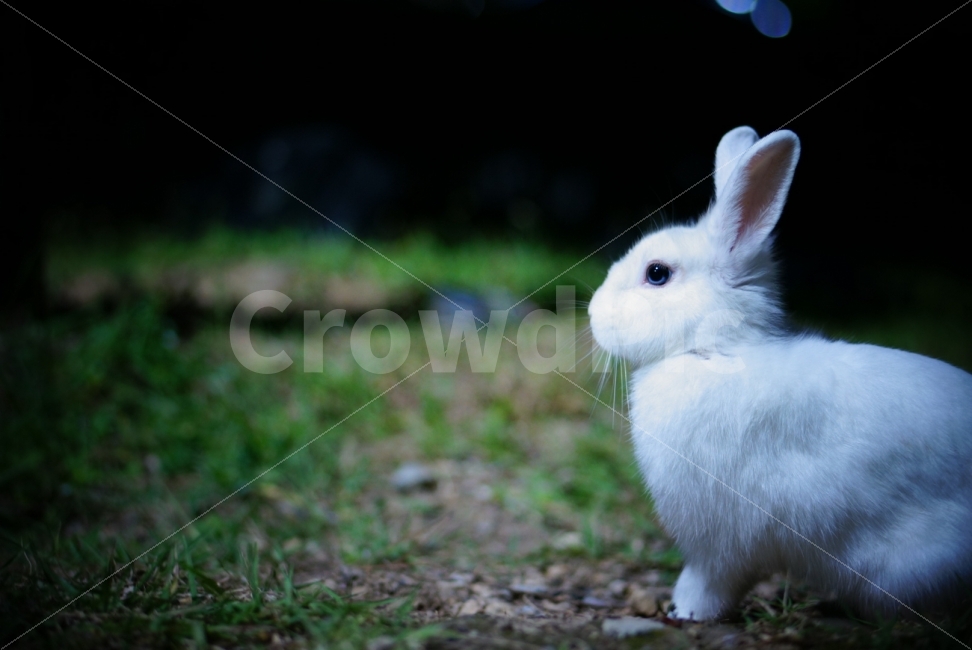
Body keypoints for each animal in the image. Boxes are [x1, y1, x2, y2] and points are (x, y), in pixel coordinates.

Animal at [587, 126, 972, 621]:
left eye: (657, 273)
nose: (593, 314)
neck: (717, 350)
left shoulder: (722, 541)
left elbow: (708, 581)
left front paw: (686, 612)